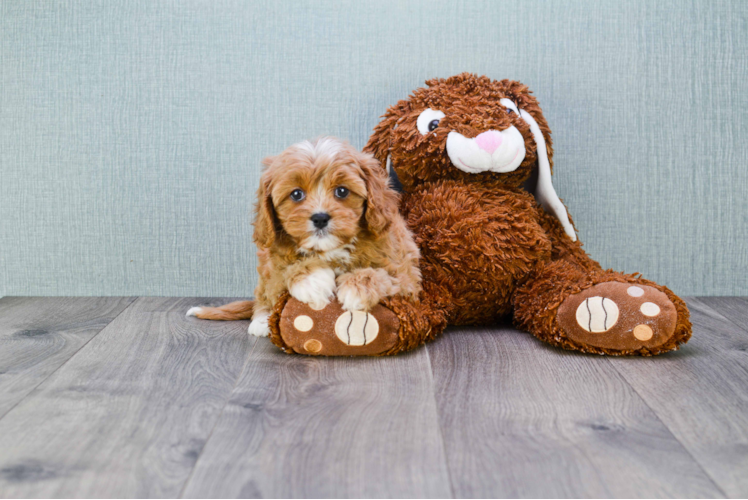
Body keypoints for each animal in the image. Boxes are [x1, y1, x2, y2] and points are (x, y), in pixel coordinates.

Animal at [187, 137, 420, 336]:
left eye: (342, 191)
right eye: (296, 194)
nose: (320, 218)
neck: (329, 249)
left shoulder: (407, 276)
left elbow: (386, 276)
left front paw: (357, 288)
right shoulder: (274, 261)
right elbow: (285, 273)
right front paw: (312, 280)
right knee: (263, 295)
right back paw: (261, 320)